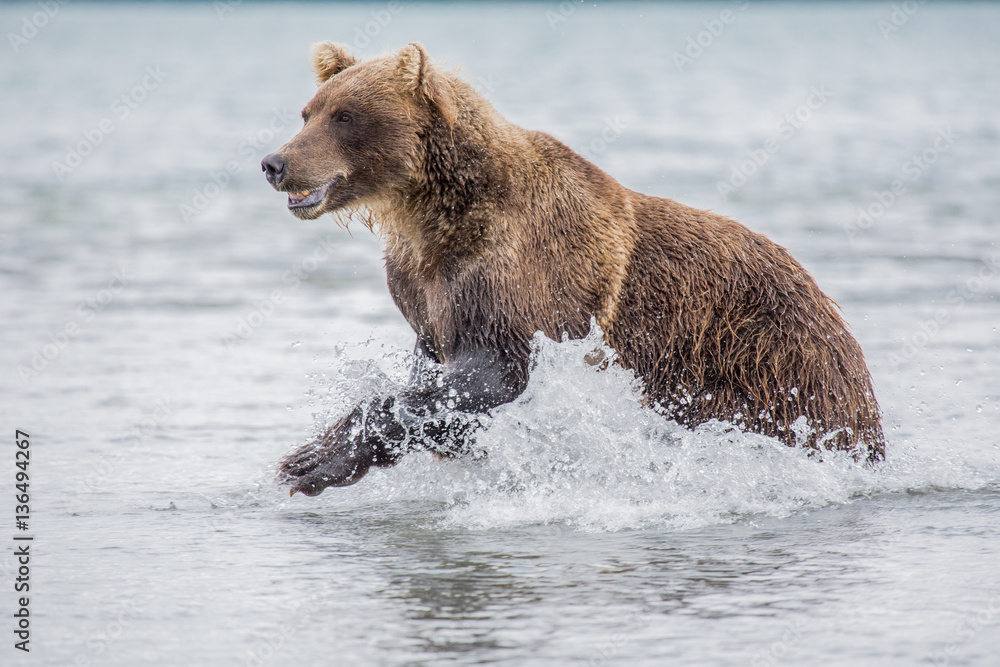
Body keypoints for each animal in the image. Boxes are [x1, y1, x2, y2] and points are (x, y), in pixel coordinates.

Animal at [262, 42, 884, 497]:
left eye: (345, 115)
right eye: (307, 112)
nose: (275, 162)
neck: (433, 213)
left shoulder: (519, 274)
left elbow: (494, 369)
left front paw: (308, 460)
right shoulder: (426, 291)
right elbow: (437, 380)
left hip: (765, 361)